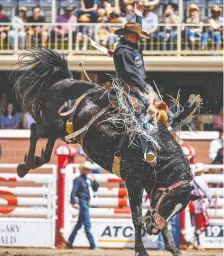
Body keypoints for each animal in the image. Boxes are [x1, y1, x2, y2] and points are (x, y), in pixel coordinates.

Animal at [12, 48, 200, 256]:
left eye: (180, 209)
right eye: (169, 203)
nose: (152, 229)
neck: (154, 150)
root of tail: (64, 81)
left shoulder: (151, 185)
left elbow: (152, 211)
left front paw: (173, 248)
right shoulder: (133, 182)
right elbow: (137, 217)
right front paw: (141, 250)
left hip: (61, 130)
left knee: (47, 144)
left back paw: (37, 159)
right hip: (51, 125)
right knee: (34, 129)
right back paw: (25, 166)